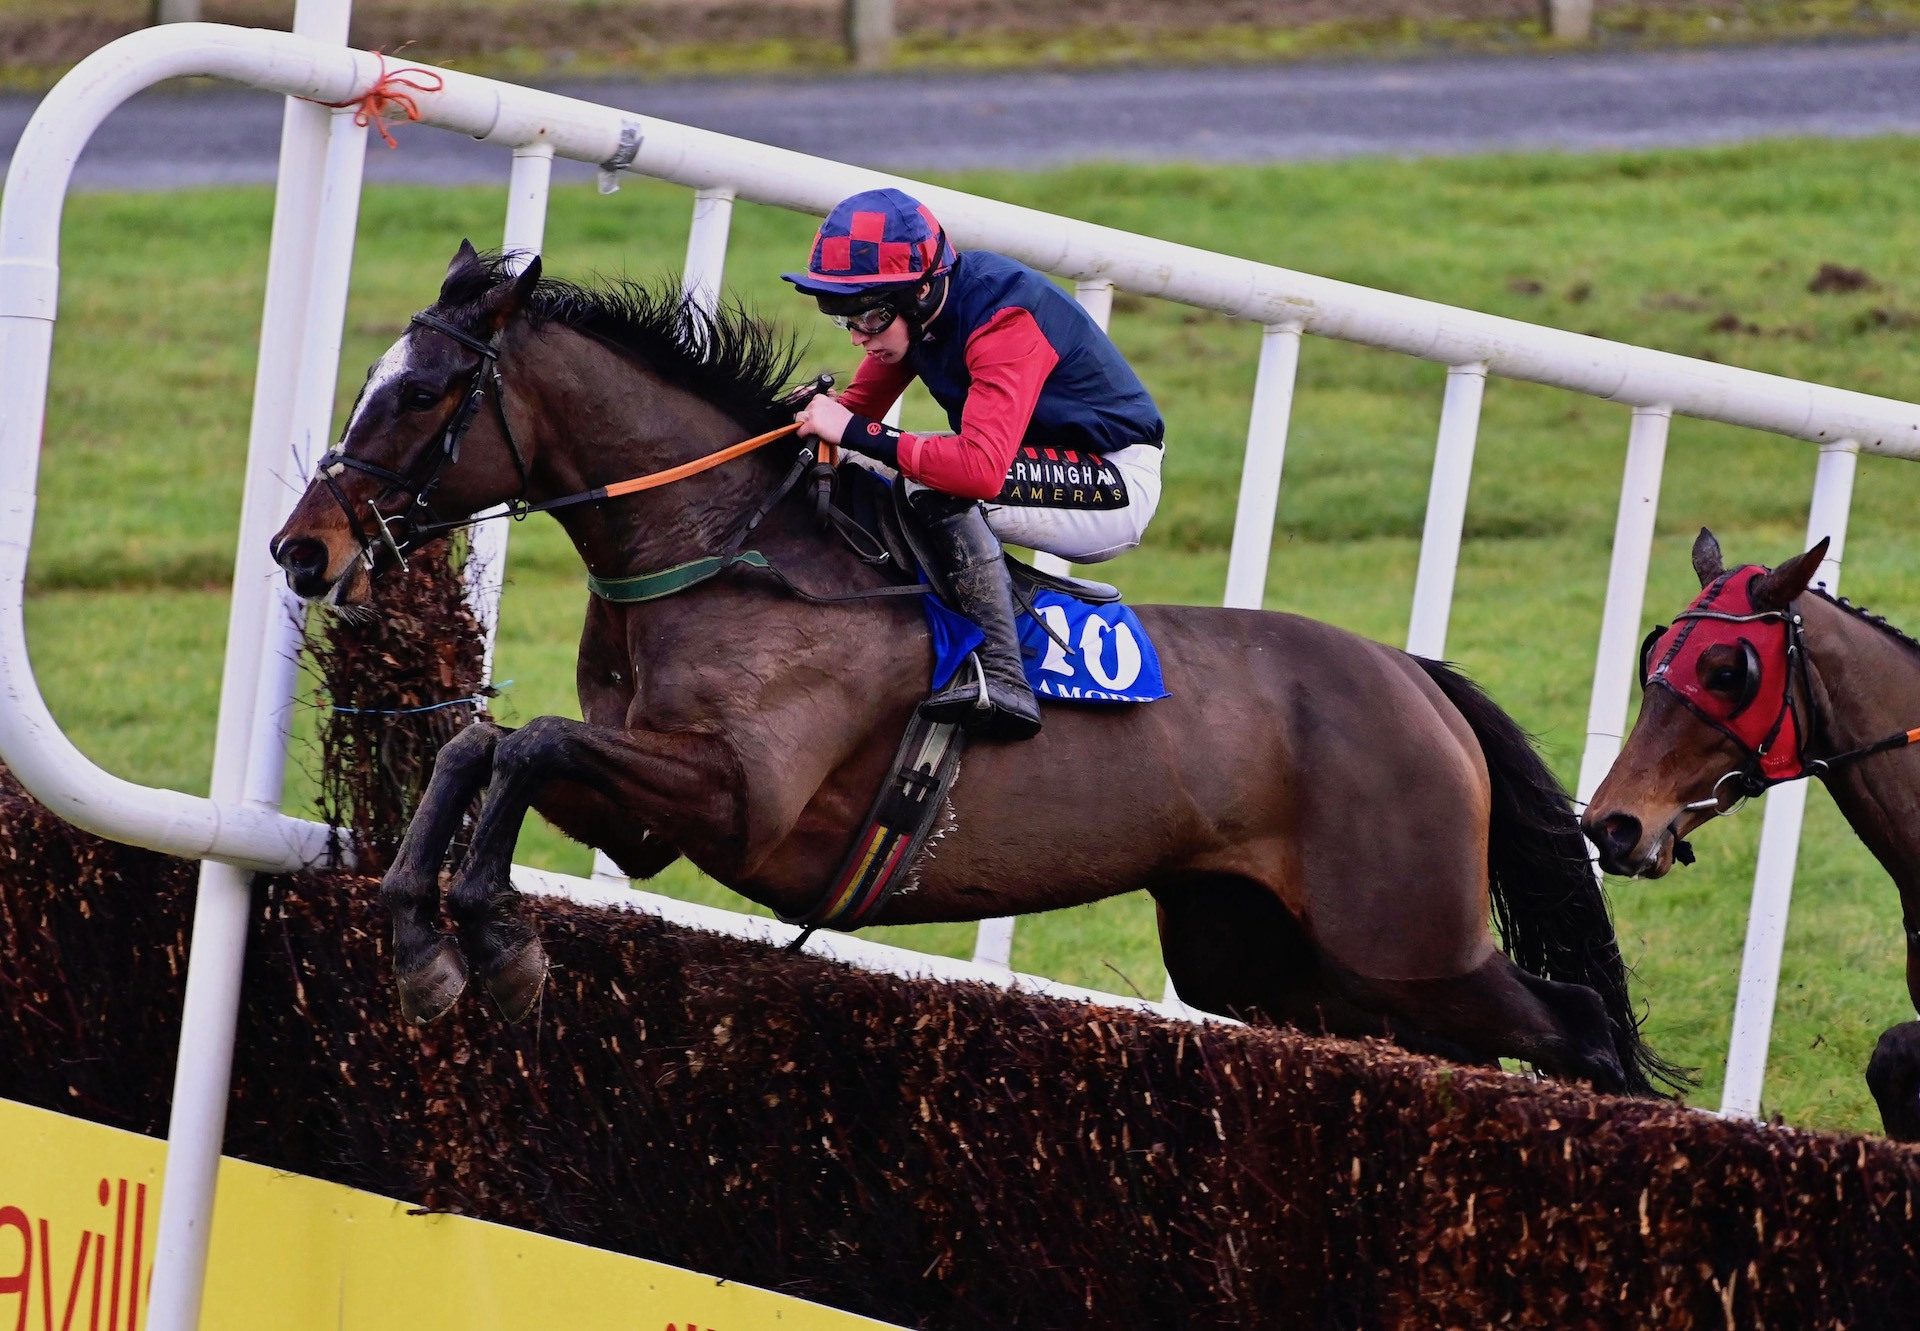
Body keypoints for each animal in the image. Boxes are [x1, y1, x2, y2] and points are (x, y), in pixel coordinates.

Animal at [270, 243, 1681, 1098]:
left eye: (422, 394)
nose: (302, 546)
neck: (729, 550)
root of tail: (1414, 675)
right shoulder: (651, 812)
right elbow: (484, 744)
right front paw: (424, 940)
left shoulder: (740, 796)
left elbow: (530, 741)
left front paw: (495, 945)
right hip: (1272, 961)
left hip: (1410, 936)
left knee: (1580, 1026)